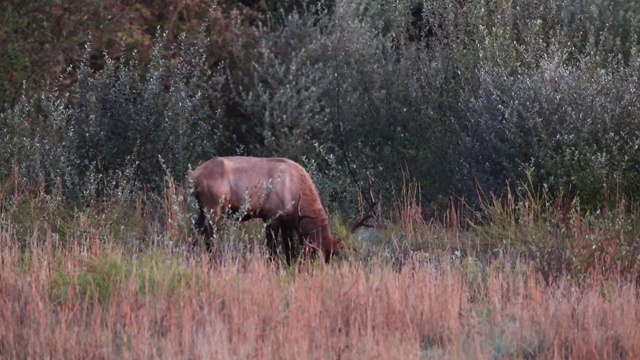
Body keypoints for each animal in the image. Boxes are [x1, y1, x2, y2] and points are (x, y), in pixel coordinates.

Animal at [192, 156, 378, 262]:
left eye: (331, 257)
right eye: (316, 256)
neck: (295, 197)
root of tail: (194, 176)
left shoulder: (288, 222)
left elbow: (289, 250)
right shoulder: (271, 216)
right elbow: (273, 251)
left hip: (203, 210)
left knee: (197, 230)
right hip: (213, 207)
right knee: (209, 237)